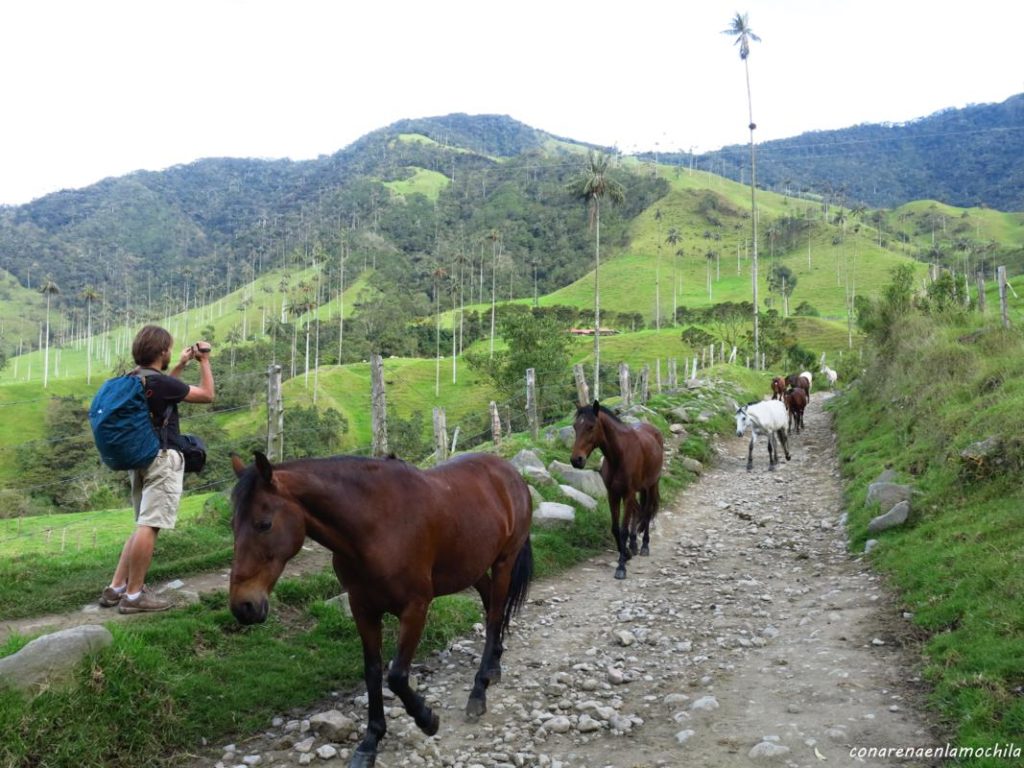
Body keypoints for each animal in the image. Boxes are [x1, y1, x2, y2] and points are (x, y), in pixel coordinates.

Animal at [228, 450, 532, 768]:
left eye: (264, 524)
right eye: (233, 526)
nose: (243, 606)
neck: (376, 527)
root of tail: (507, 470)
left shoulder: (415, 608)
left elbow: (396, 675)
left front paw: (427, 719)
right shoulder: (363, 609)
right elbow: (373, 671)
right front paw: (370, 741)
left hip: (504, 561)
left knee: (495, 615)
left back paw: (479, 690)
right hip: (474, 567)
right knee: (491, 608)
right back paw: (494, 666)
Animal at [569, 403, 663, 577]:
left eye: (591, 427)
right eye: (575, 426)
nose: (576, 460)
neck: (620, 454)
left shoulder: (627, 494)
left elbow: (623, 529)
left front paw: (621, 566)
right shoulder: (613, 494)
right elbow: (615, 528)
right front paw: (626, 553)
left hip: (652, 485)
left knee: (647, 512)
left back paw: (644, 546)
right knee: (638, 510)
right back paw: (633, 544)